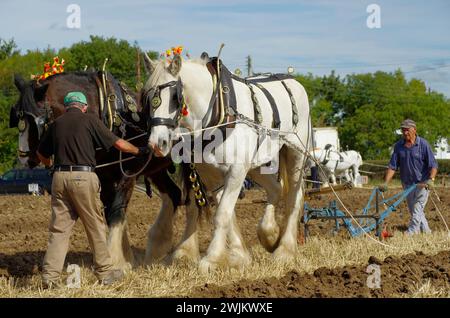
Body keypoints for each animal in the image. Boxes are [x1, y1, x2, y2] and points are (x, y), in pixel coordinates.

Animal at [9, 72, 200, 268]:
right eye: (16, 118)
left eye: (36, 121)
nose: (24, 157)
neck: (108, 113)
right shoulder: (104, 177)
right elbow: (111, 214)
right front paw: (125, 257)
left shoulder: (127, 174)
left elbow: (117, 211)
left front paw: (114, 260)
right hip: (156, 168)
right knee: (174, 195)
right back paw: (157, 250)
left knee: (193, 202)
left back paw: (185, 252)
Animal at [142, 52, 312, 274]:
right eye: (147, 98)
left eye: (174, 97)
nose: (157, 143)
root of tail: (294, 81)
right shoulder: (209, 173)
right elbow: (218, 211)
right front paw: (237, 256)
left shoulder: (237, 170)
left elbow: (222, 213)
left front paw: (212, 259)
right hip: (257, 163)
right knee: (276, 189)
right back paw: (269, 235)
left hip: (295, 154)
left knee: (294, 197)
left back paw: (285, 250)